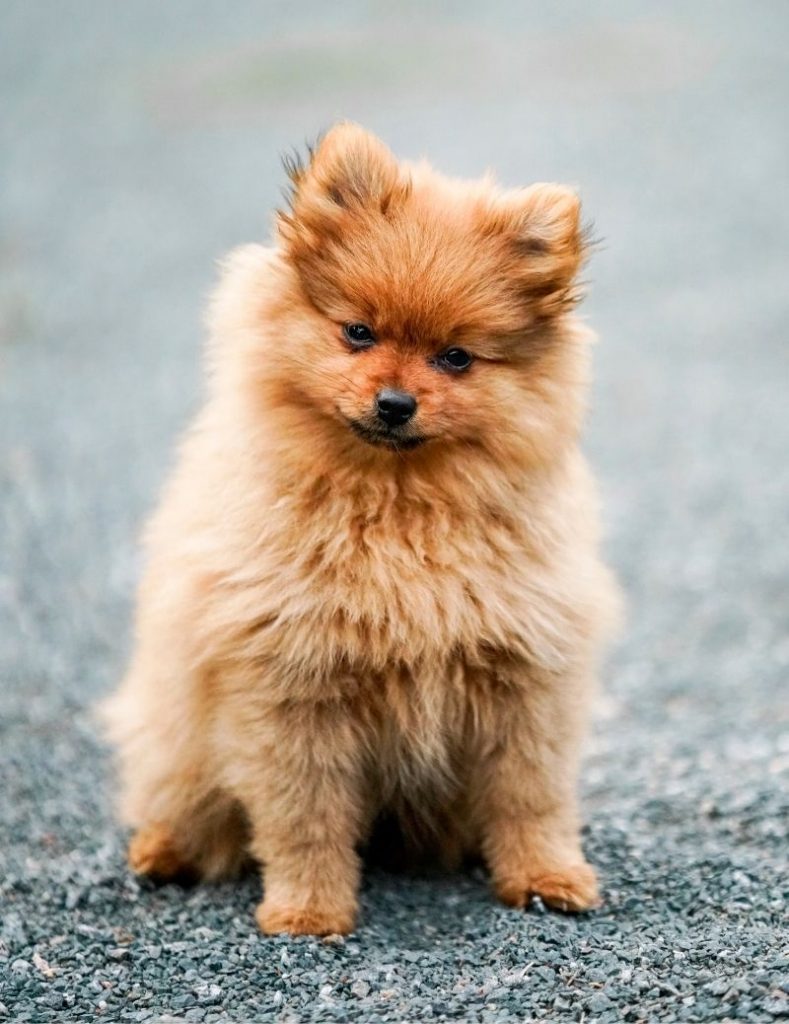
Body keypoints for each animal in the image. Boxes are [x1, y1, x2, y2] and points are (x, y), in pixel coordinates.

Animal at [101, 121, 622, 937]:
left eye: (455, 358)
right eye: (357, 332)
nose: (395, 402)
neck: (395, 507)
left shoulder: (526, 679)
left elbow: (530, 797)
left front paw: (546, 878)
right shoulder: (289, 686)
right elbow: (303, 817)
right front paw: (309, 912)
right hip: (174, 730)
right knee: (180, 799)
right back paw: (164, 852)